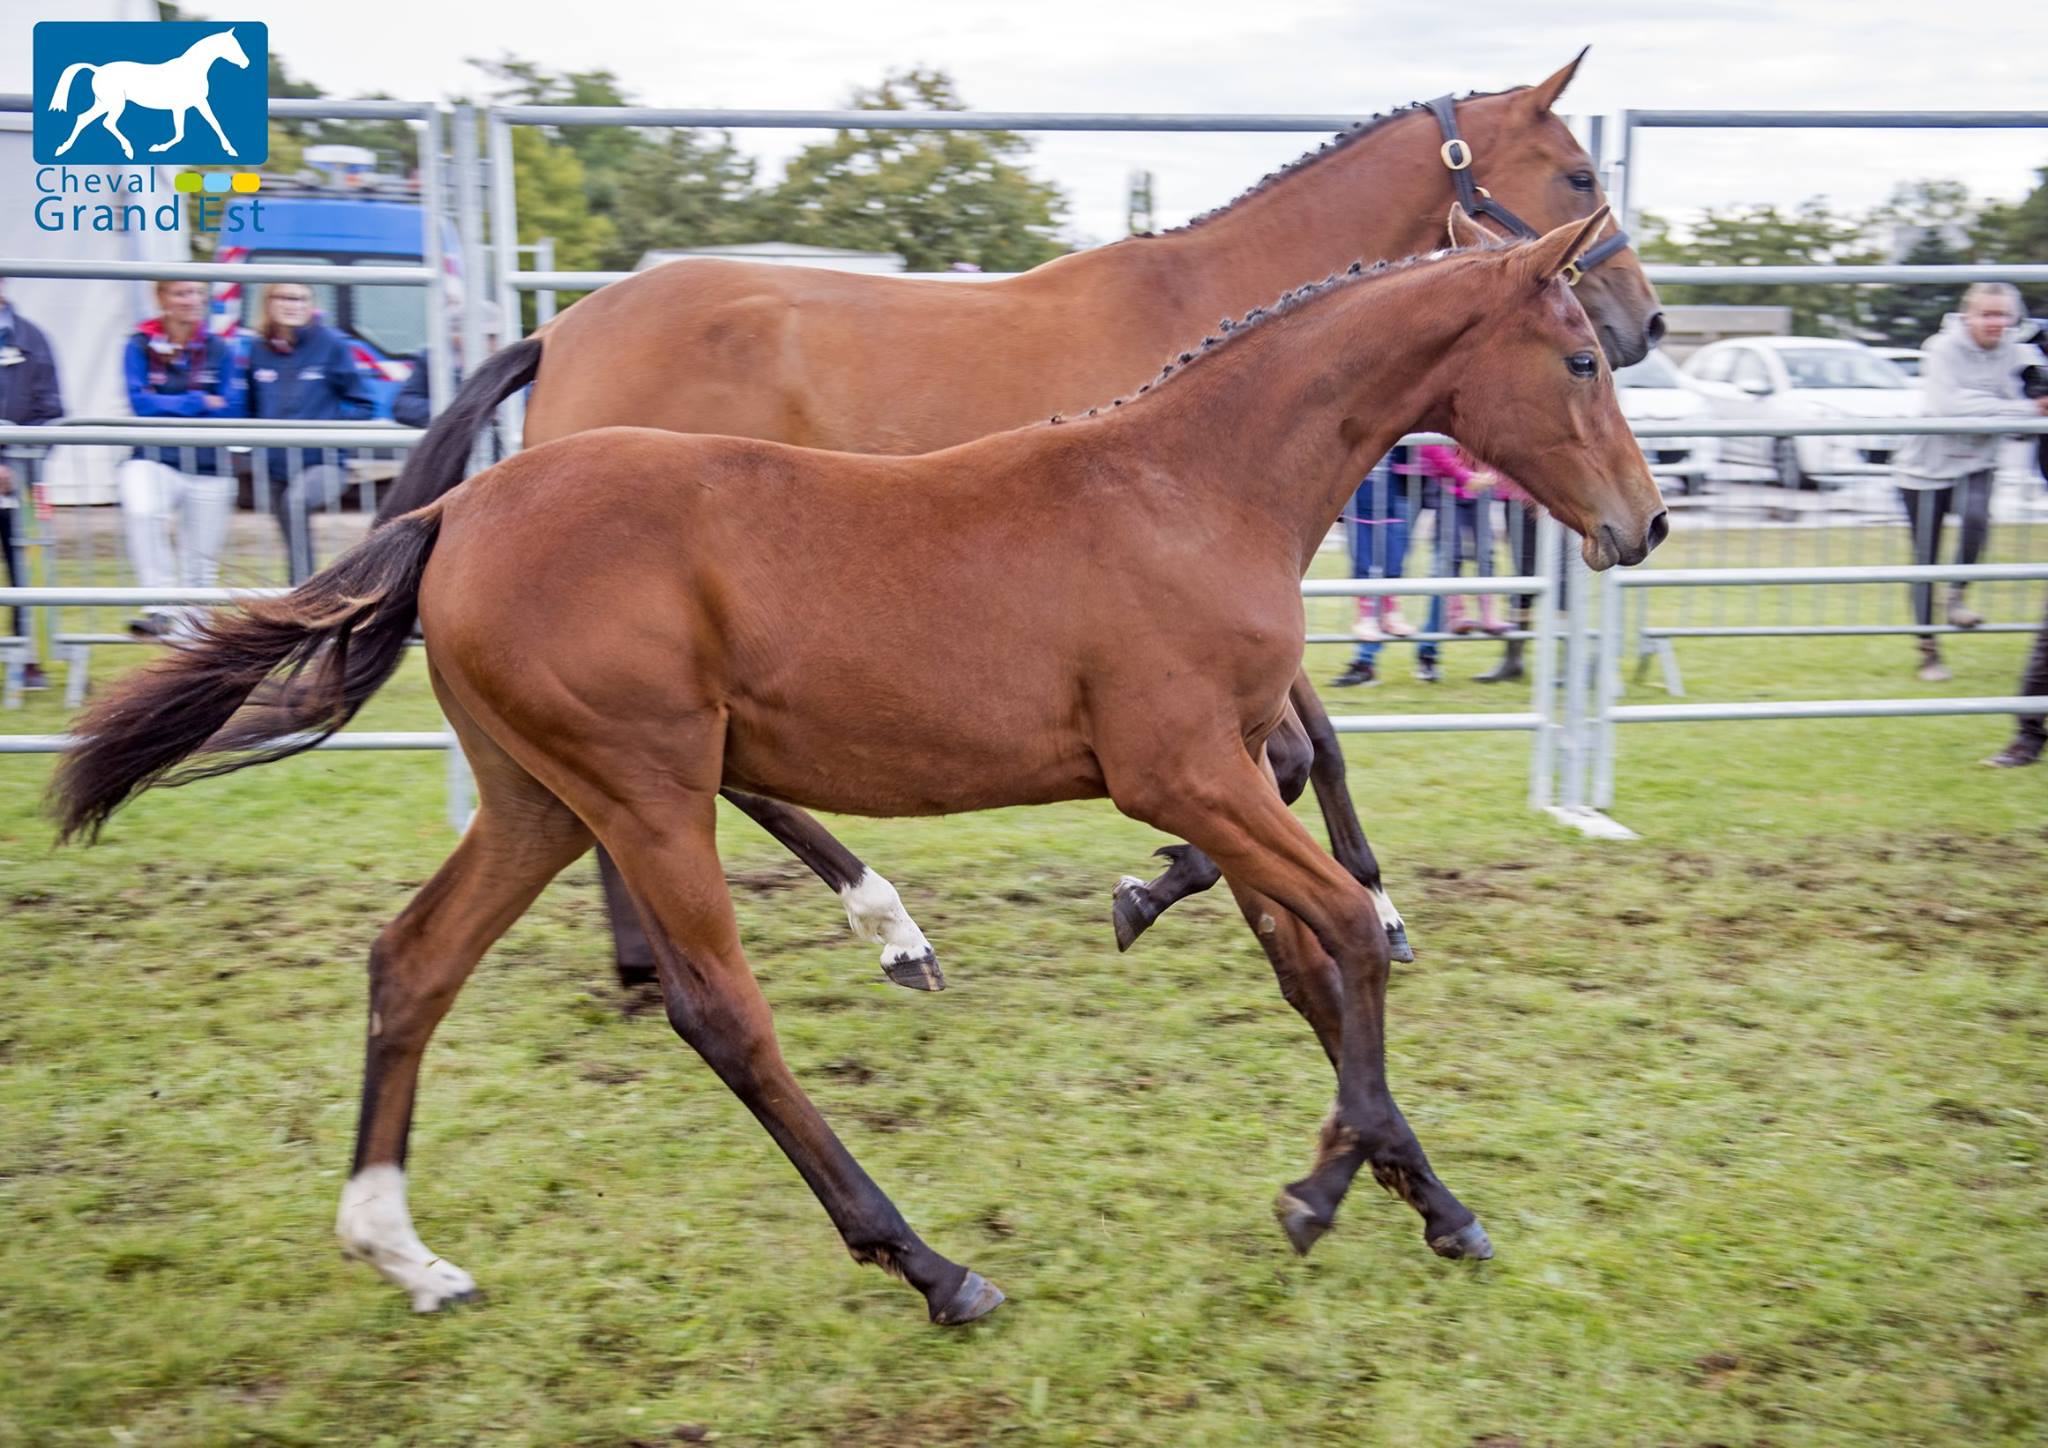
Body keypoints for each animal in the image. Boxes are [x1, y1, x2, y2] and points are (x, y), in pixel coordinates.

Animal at [56, 215, 1662, 1327]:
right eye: (1578, 355)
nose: (1642, 522)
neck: (1187, 488)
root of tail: (459, 509)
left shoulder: (1225, 777)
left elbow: (1306, 961)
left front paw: (1424, 1195)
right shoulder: (1183, 775)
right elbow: (1341, 932)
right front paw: (1331, 1190)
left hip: (538, 799)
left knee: (413, 962)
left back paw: (403, 1249)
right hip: (639, 784)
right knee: (720, 1010)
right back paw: (930, 1256)